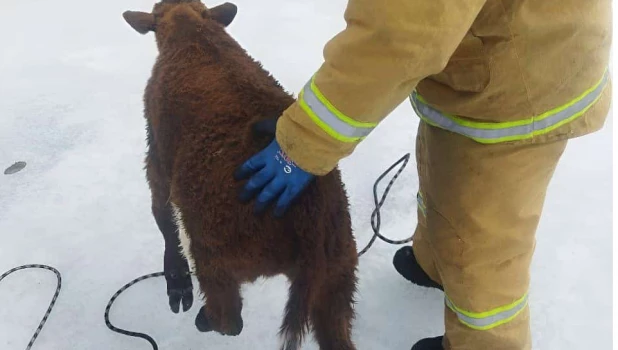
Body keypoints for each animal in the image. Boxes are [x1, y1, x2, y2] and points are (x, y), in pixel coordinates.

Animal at [121, 1, 358, 348]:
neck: (191, 30)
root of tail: (310, 216)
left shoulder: (157, 160)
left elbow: (163, 217)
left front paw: (176, 280)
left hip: (216, 257)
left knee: (230, 320)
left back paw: (205, 319)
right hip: (338, 272)